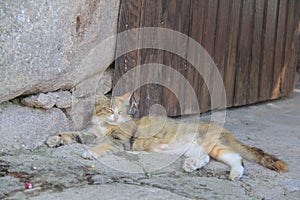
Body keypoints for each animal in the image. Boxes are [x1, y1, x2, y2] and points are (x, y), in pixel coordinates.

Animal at [45, 93, 288, 180]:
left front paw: (89, 153)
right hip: (203, 147)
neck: (105, 126)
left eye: (121, 112)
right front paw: (55, 139)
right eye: (109, 110)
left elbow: (102, 147)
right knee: (214, 158)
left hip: (210, 143)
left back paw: (233, 173)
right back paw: (195, 165)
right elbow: (70, 134)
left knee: (235, 158)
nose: (115, 116)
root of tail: (225, 130)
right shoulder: (88, 133)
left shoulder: (120, 141)